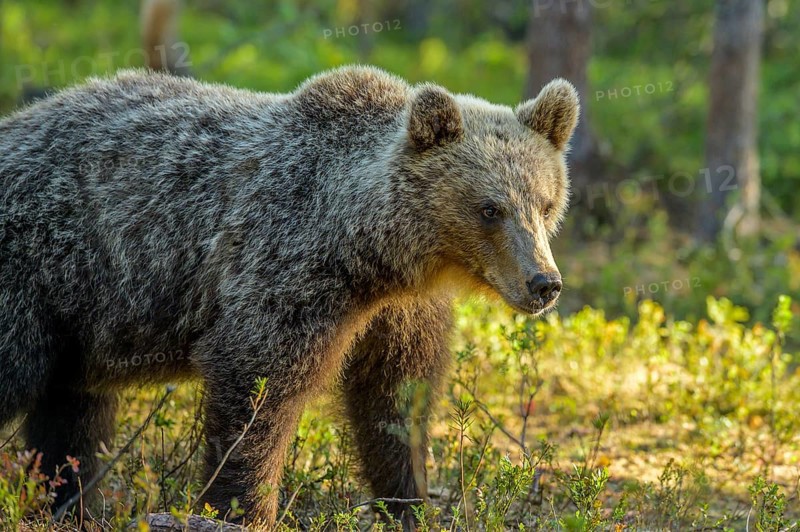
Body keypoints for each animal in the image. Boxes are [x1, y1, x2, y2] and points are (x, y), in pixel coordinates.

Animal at [0, 65, 578, 528]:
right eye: (489, 208)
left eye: (546, 203)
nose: (544, 283)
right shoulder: (285, 269)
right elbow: (257, 392)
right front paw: (240, 509)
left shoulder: (400, 312)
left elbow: (395, 399)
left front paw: (409, 503)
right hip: (39, 269)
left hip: (78, 319)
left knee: (70, 417)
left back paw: (65, 506)